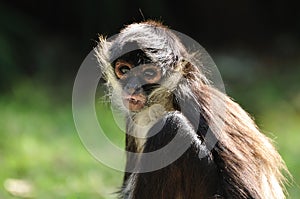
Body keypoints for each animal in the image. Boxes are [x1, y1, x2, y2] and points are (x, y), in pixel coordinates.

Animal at [95, 21, 288, 198]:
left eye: (148, 74)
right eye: (124, 70)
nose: (131, 88)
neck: (162, 101)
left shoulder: (191, 98)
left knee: (173, 125)